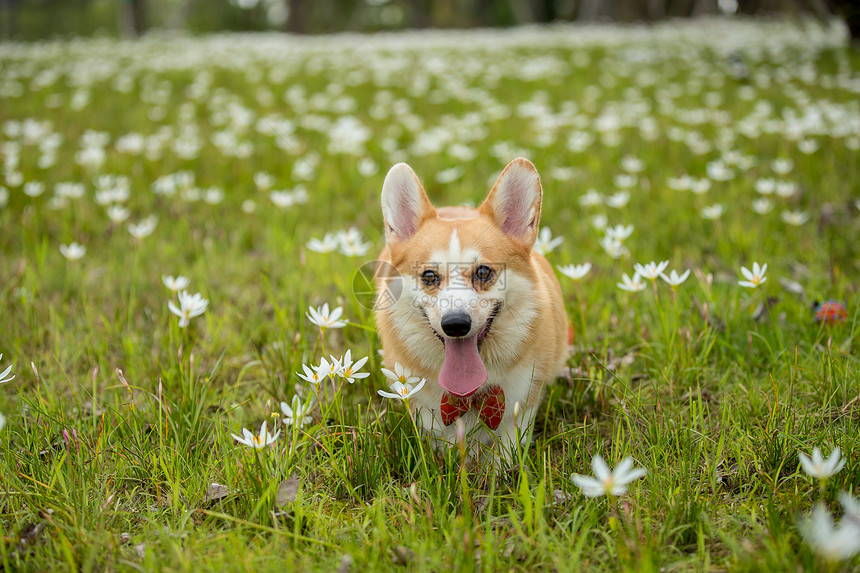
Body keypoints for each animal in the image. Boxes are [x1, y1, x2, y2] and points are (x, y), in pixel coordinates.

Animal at [374, 159, 564, 454]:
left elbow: (506, 451)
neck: (467, 395)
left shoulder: (520, 408)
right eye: (429, 276)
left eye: (483, 272)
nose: (455, 324)